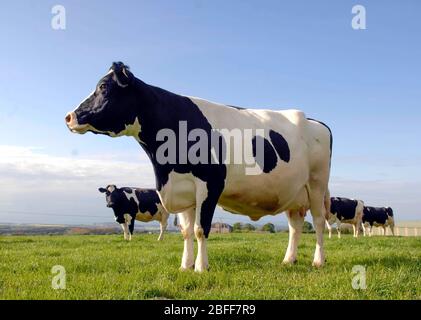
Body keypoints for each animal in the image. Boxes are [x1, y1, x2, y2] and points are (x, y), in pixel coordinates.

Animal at [65, 62, 334, 270]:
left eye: (103, 87)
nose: (69, 116)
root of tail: (316, 122)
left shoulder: (209, 185)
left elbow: (200, 229)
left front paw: (201, 268)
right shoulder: (183, 188)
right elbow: (186, 231)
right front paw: (185, 266)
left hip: (317, 185)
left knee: (319, 222)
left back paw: (318, 261)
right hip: (294, 193)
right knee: (295, 227)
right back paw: (289, 260)